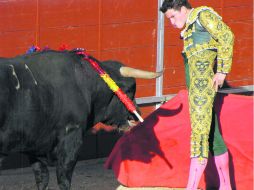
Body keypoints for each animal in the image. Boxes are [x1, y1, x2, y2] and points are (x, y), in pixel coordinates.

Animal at [0, 49, 162, 189]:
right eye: (129, 90)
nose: (137, 114)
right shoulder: (72, 138)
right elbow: (63, 179)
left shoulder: (35, 148)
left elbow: (42, 178)